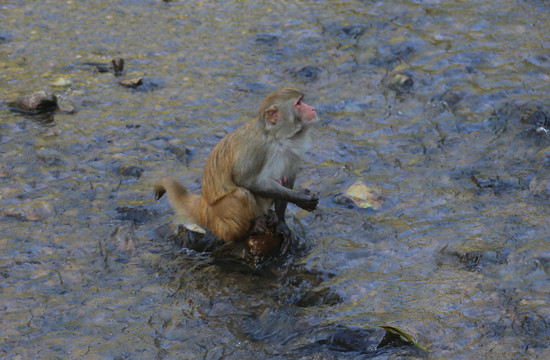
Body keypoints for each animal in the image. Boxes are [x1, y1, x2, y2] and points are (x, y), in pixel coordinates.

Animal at [155, 88, 320, 255]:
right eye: (298, 103)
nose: (312, 109)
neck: (276, 136)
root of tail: (203, 205)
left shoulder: (290, 150)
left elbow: (286, 178)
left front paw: (281, 223)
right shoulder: (256, 146)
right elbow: (245, 180)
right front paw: (300, 197)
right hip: (219, 220)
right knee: (242, 194)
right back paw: (248, 230)